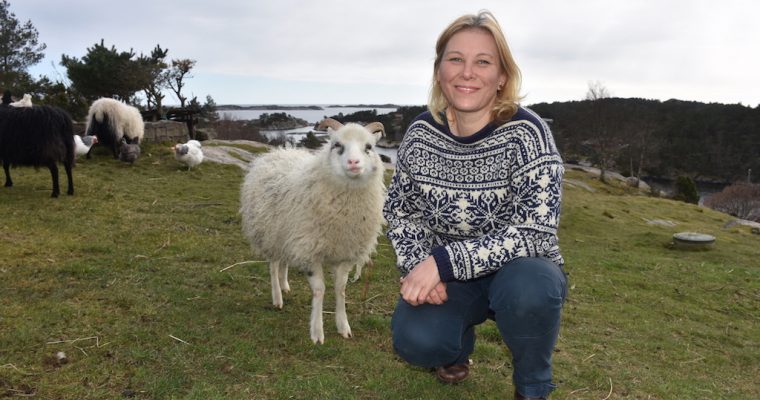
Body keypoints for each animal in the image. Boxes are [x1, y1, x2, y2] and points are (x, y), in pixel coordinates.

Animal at [240, 118, 386, 344]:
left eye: (369, 147)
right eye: (336, 144)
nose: (354, 163)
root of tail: (279, 152)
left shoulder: (344, 253)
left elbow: (341, 289)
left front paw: (343, 326)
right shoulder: (309, 251)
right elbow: (319, 290)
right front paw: (317, 333)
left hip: (288, 236)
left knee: (284, 262)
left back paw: (285, 285)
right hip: (270, 233)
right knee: (273, 266)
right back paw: (277, 297)